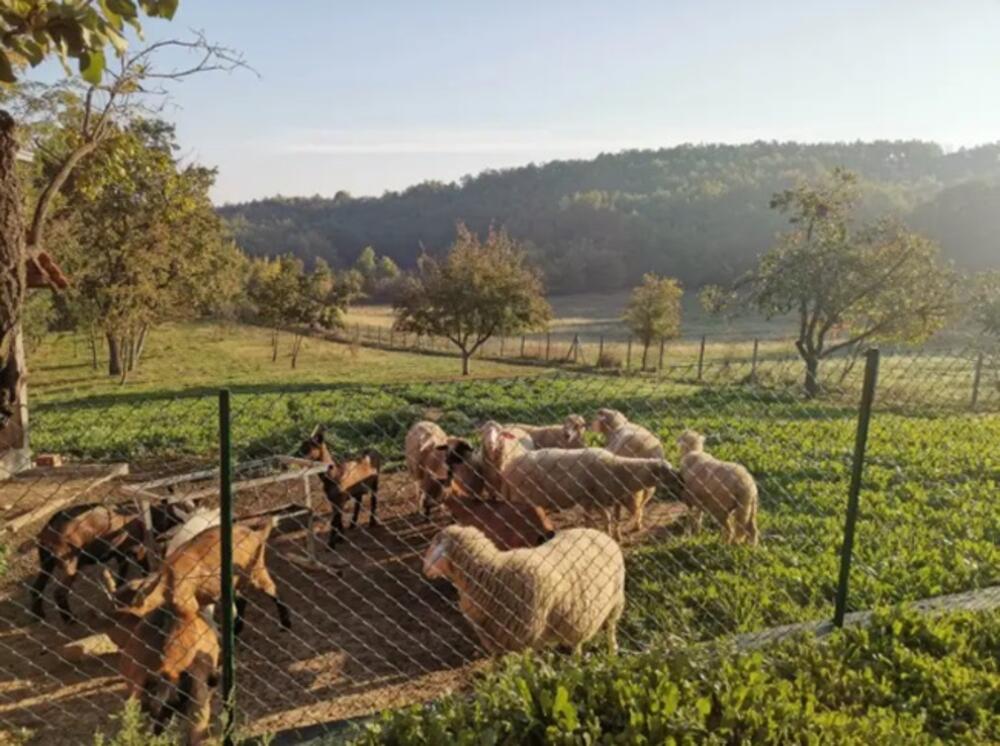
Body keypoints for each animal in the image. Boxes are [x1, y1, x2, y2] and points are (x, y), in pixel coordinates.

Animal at [29, 500, 193, 620]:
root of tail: (47, 529)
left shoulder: (120, 554)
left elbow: (121, 577)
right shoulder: (137, 549)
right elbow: (144, 569)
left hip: (47, 563)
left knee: (36, 587)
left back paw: (38, 615)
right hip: (69, 565)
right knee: (59, 592)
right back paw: (69, 619)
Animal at [422, 520, 624, 652]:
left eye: (434, 545)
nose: (424, 569)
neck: (492, 573)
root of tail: (598, 532)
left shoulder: (524, 636)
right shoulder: (495, 641)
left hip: (615, 601)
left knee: (611, 629)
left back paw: (612, 652)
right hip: (578, 616)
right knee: (578, 640)